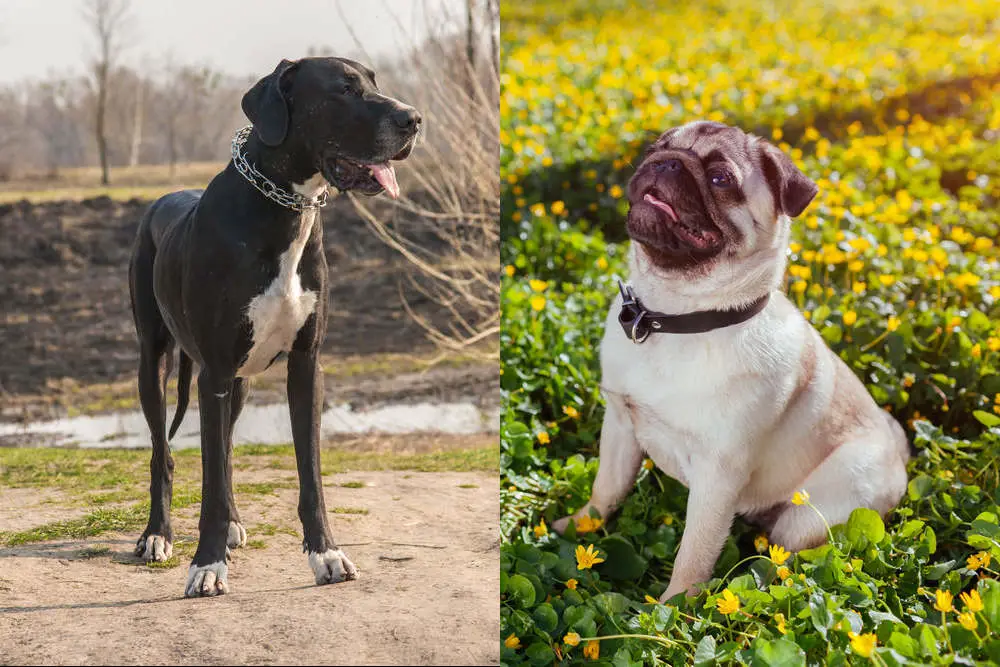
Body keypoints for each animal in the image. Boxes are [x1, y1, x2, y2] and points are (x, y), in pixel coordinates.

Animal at [128, 57, 418, 596]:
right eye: (344, 89)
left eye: (375, 81)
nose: (414, 119)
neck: (286, 210)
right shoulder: (215, 373)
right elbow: (210, 479)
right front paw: (206, 565)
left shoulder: (305, 366)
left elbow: (309, 474)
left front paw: (326, 555)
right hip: (154, 360)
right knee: (164, 451)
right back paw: (157, 534)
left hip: (240, 382)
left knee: (223, 451)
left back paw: (233, 524)